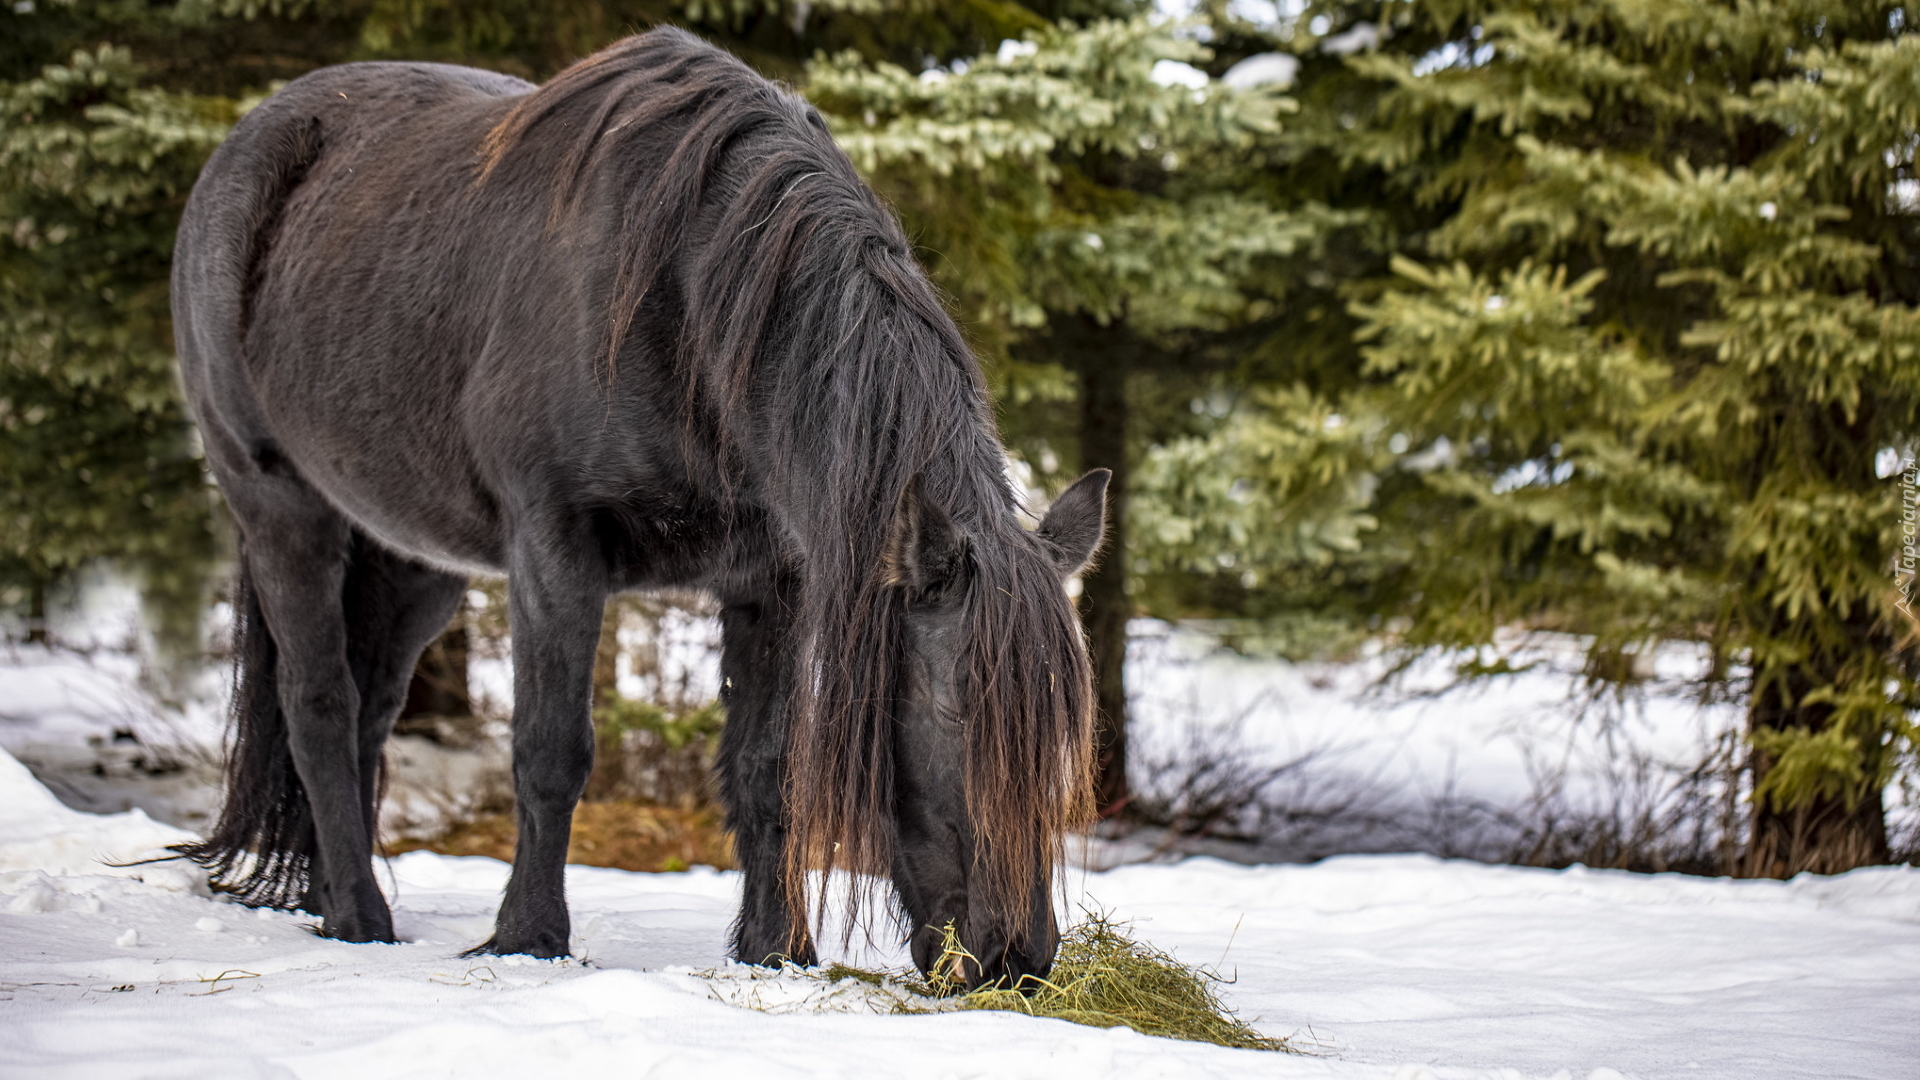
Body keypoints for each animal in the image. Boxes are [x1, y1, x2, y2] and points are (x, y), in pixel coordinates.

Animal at [174, 25, 1121, 983]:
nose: (1016, 957)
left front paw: (777, 951)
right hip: (281, 510)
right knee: (319, 706)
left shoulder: (775, 579)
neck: (686, 302)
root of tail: (244, 150)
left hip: (415, 559)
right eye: (955, 713)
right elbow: (552, 751)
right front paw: (529, 938)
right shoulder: (554, 550)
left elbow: (766, 768)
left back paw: (329, 893)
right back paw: (358, 917)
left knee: (370, 711)